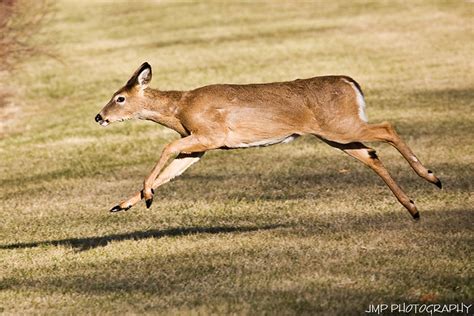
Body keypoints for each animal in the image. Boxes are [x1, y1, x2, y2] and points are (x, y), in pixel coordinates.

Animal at [94, 61, 442, 220]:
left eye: (119, 98)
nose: (99, 117)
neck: (180, 108)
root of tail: (351, 82)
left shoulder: (211, 134)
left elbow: (167, 148)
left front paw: (145, 195)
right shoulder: (200, 146)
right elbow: (170, 172)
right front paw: (125, 203)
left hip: (341, 126)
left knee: (386, 127)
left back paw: (433, 177)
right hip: (335, 134)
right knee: (371, 154)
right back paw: (413, 208)